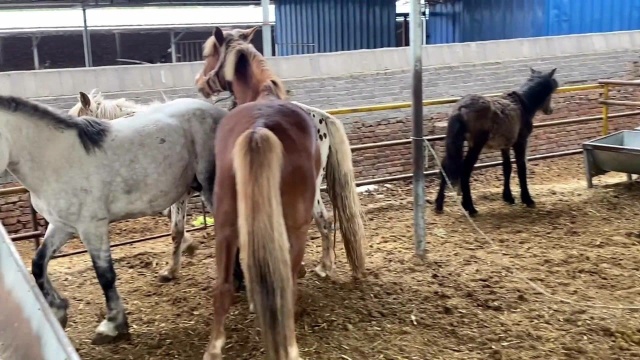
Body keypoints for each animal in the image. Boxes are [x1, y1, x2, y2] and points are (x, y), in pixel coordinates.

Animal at [201, 27, 320, 360]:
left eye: (208, 54)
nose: (200, 82)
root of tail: (260, 128)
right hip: (296, 227)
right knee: (286, 285)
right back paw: (290, 346)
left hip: (226, 224)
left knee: (223, 286)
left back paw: (214, 348)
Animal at [432, 66, 556, 215]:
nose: (550, 110)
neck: (522, 105)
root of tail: (461, 108)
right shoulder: (520, 142)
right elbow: (521, 168)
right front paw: (527, 199)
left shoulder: (505, 146)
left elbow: (507, 168)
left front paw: (508, 197)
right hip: (476, 145)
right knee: (465, 170)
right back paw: (470, 207)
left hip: (456, 143)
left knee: (445, 167)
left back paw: (439, 205)